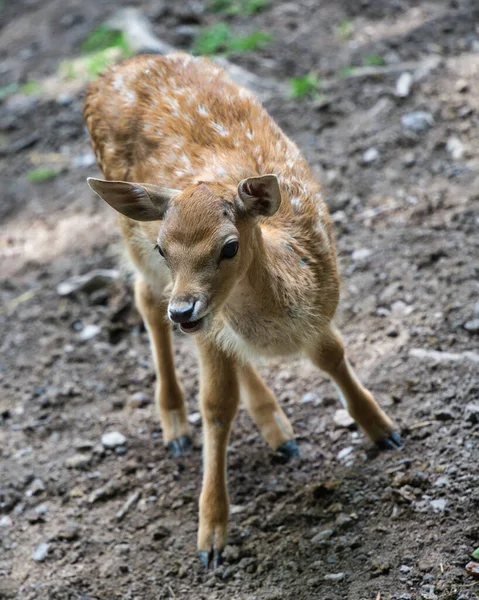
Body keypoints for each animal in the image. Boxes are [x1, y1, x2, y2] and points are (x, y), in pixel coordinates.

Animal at [83, 51, 402, 568]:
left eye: (229, 246)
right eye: (164, 246)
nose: (184, 311)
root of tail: (116, 68)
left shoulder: (320, 306)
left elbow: (332, 354)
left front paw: (383, 430)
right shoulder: (199, 316)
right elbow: (216, 405)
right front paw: (211, 536)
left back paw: (278, 429)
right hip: (132, 242)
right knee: (145, 298)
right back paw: (176, 426)